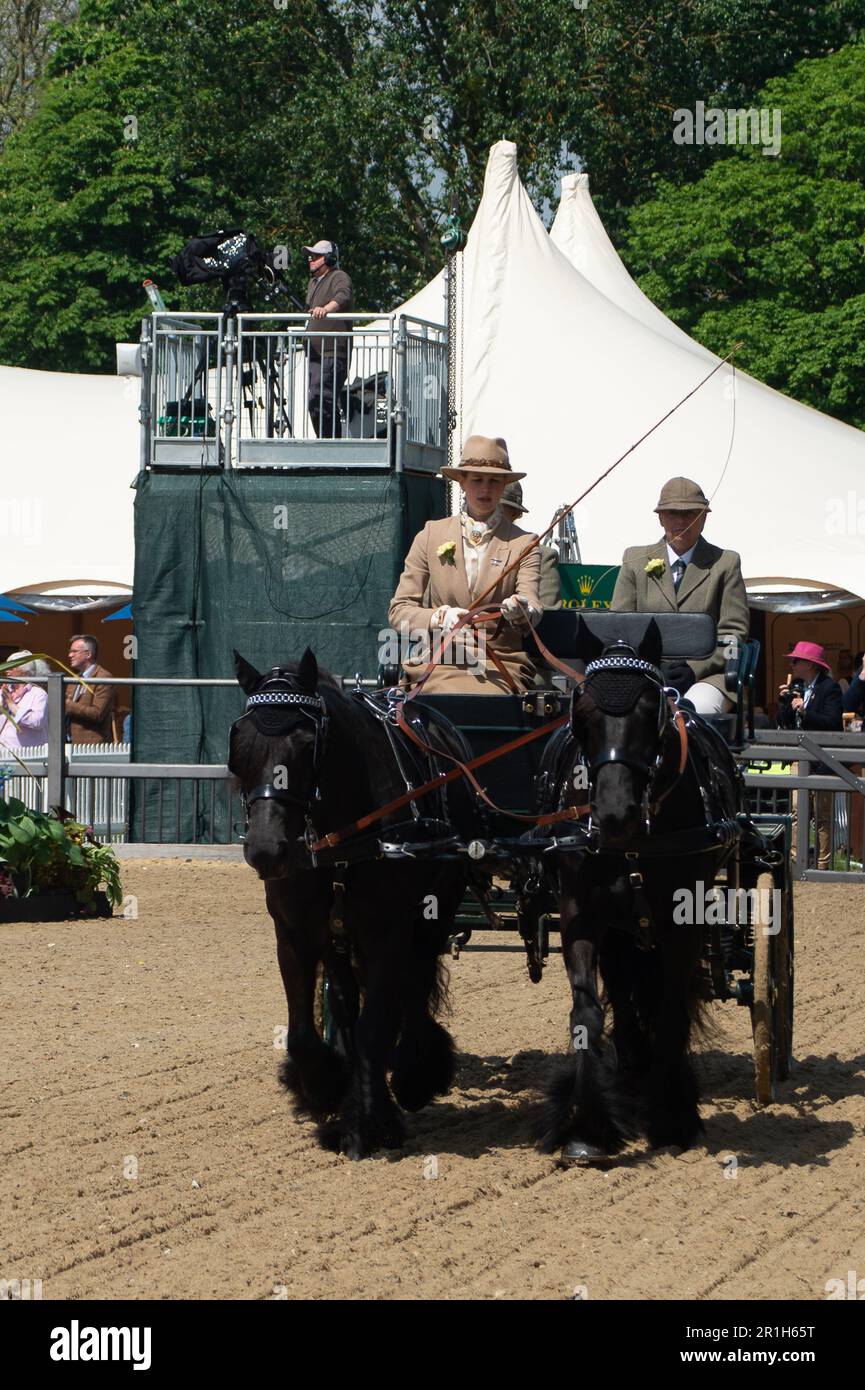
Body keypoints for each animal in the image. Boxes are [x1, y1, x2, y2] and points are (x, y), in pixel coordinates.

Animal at [229, 650, 475, 1162]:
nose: (266, 850)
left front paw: (366, 1125)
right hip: (341, 938)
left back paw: (416, 1075)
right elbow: (305, 1032)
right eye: (239, 743)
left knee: (413, 989)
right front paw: (324, 1089)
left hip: (434, 914)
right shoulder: (295, 934)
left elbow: (374, 1028)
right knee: (345, 998)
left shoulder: (388, 933)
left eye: (307, 745)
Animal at [539, 619, 739, 1162]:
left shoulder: (682, 922)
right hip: (619, 930)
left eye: (652, 711)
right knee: (626, 999)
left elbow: (670, 1010)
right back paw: (628, 1076)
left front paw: (673, 1118)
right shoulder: (581, 914)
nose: (614, 814)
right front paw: (587, 1127)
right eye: (583, 711)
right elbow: (587, 1011)